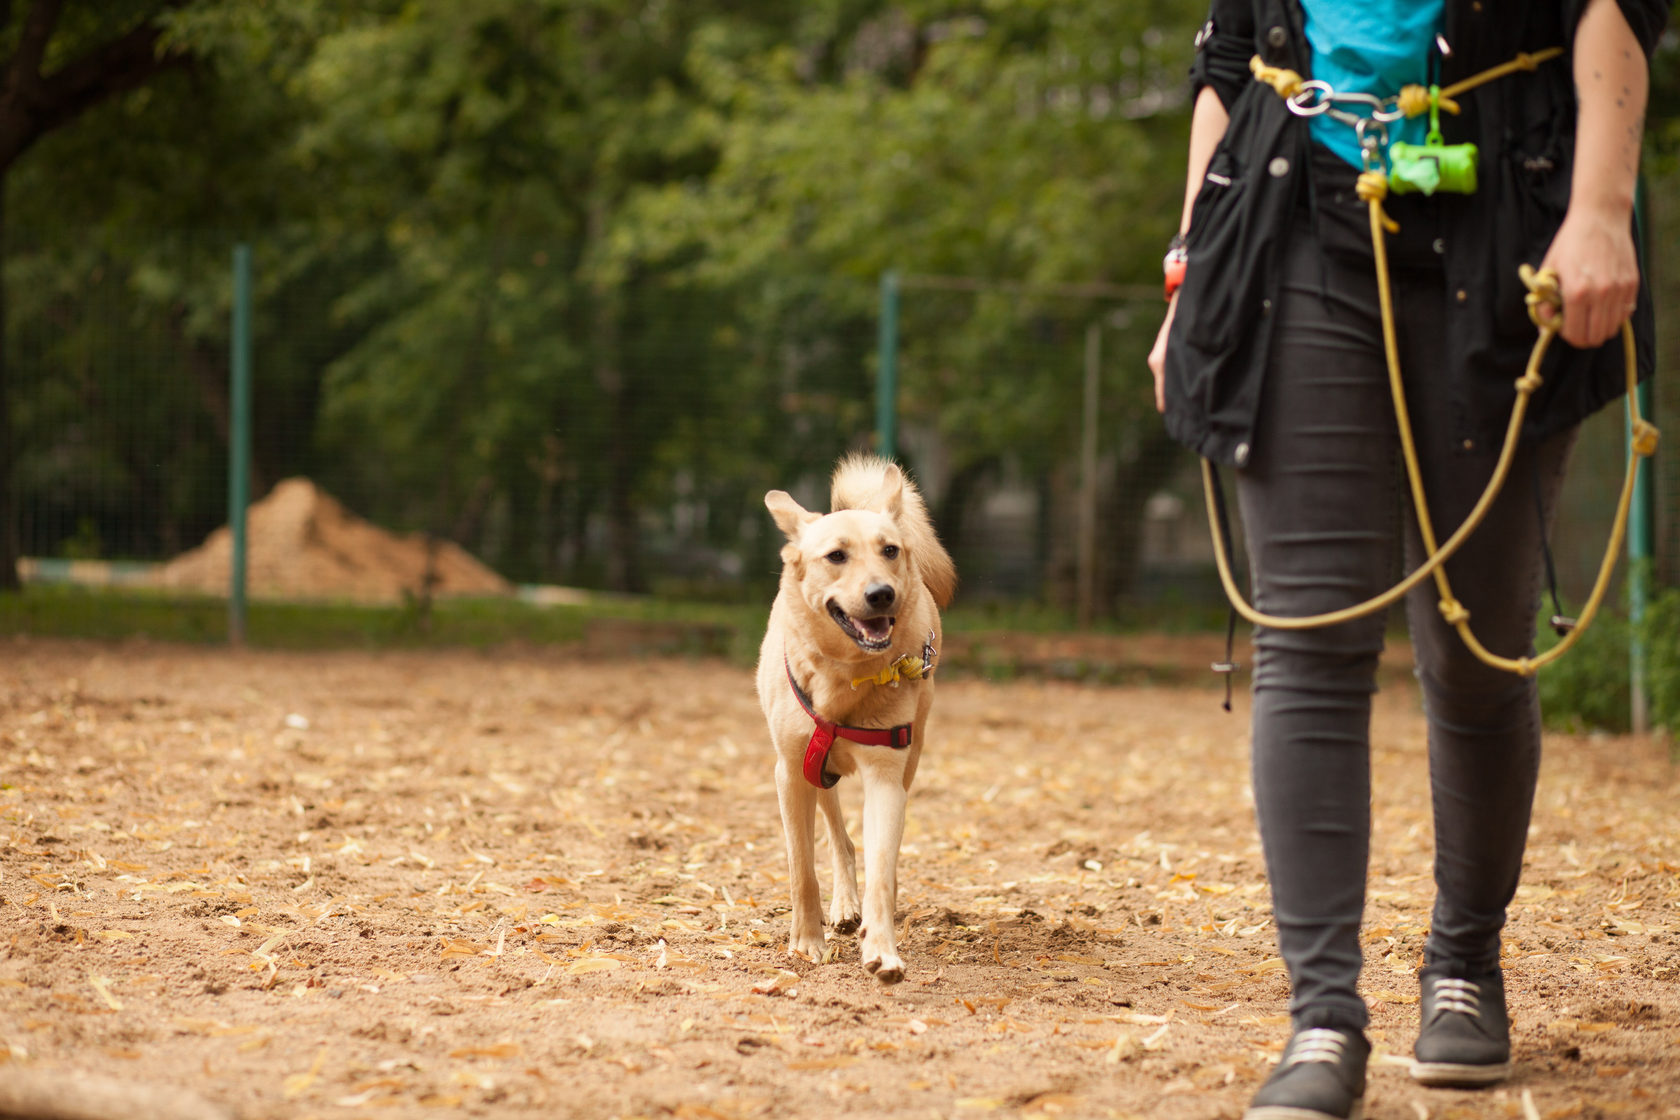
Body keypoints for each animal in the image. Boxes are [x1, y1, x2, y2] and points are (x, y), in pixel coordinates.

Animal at [762, 453, 960, 980]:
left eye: (890, 550)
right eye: (836, 556)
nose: (881, 594)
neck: (846, 679)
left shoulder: (887, 775)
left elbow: (883, 871)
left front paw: (882, 949)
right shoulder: (791, 772)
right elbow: (802, 869)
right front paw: (807, 942)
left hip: (911, 755)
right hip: (817, 767)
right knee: (838, 837)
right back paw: (844, 905)